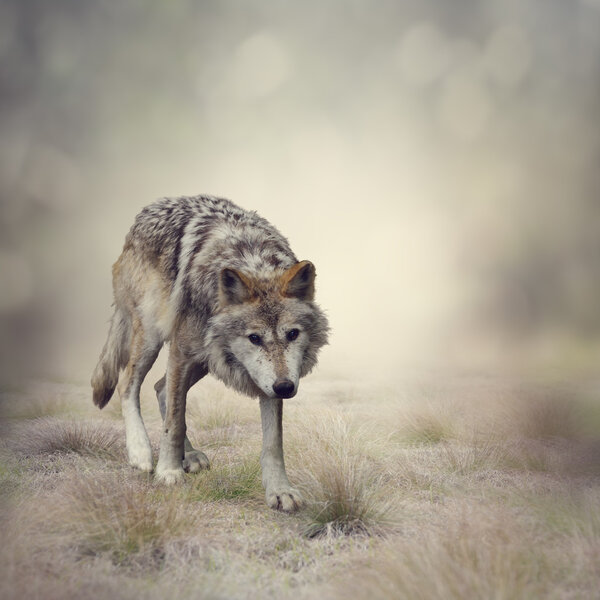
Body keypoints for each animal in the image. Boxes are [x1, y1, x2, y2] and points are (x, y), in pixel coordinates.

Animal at [91, 196, 330, 510]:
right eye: (254, 338)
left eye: (292, 334)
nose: (285, 388)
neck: (252, 261)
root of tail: (143, 215)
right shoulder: (181, 352)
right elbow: (174, 422)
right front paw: (168, 472)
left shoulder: (264, 379)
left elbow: (273, 442)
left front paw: (280, 490)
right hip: (153, 337)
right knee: (128, 384)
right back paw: (141, 451)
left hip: (207, 358)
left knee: (160, 388)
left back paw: (189, 455)